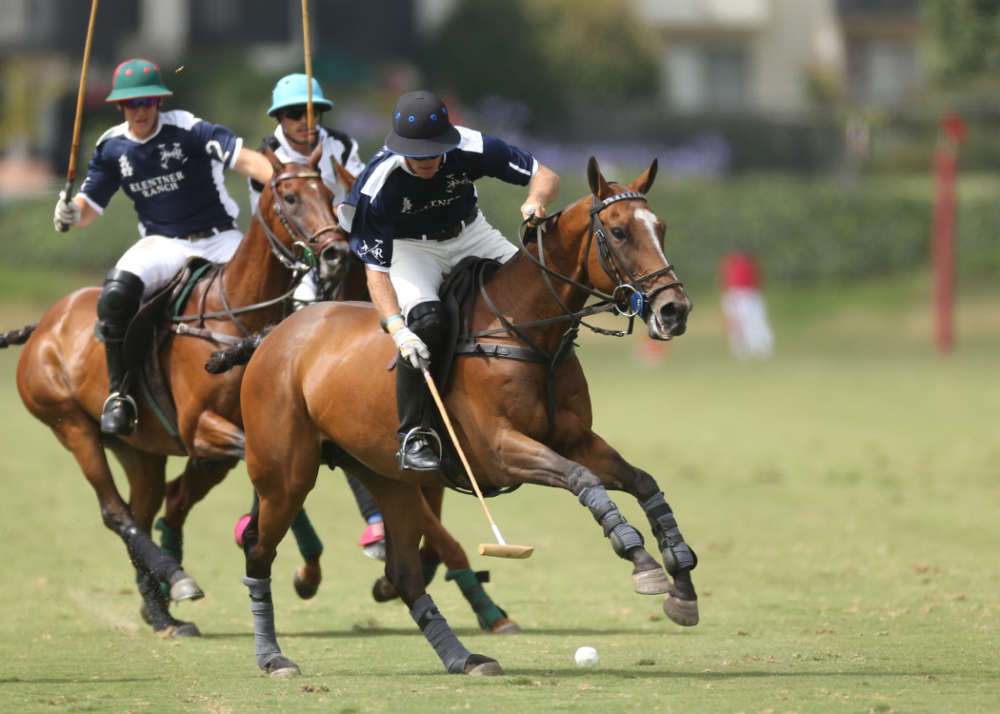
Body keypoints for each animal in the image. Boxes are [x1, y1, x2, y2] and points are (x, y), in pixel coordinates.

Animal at [238, 156, 700, 672]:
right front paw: (642, 562)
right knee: (258, 551)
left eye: (660, 227)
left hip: (388, 479)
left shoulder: (575, 438)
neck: (526, 331)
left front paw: (681, 582)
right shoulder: (500, 450)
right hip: (285, 475)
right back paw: (273, 657)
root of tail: (275, 334)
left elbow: (642, 482)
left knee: (404, 572)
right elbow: (582, 479)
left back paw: (464, 657)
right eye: (618, 232)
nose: (674, 310)